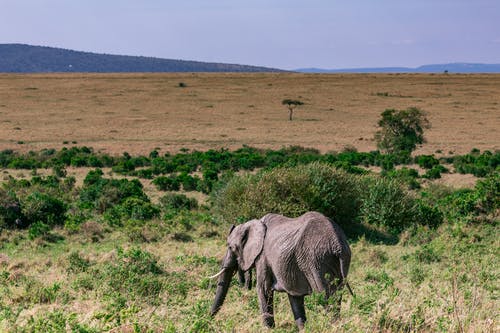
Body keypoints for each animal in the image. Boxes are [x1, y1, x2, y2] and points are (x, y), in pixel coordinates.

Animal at [209, 211, 354, 328]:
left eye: (230, 247)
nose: (208, 318)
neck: (251, 224)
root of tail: (337, 243)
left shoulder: (262, 257)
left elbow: (263, 289)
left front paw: (269, 329)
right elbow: (295, 298)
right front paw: (303, 328)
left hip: (316, 260)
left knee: (325, 297)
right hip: (335, 260)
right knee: (336, 296)